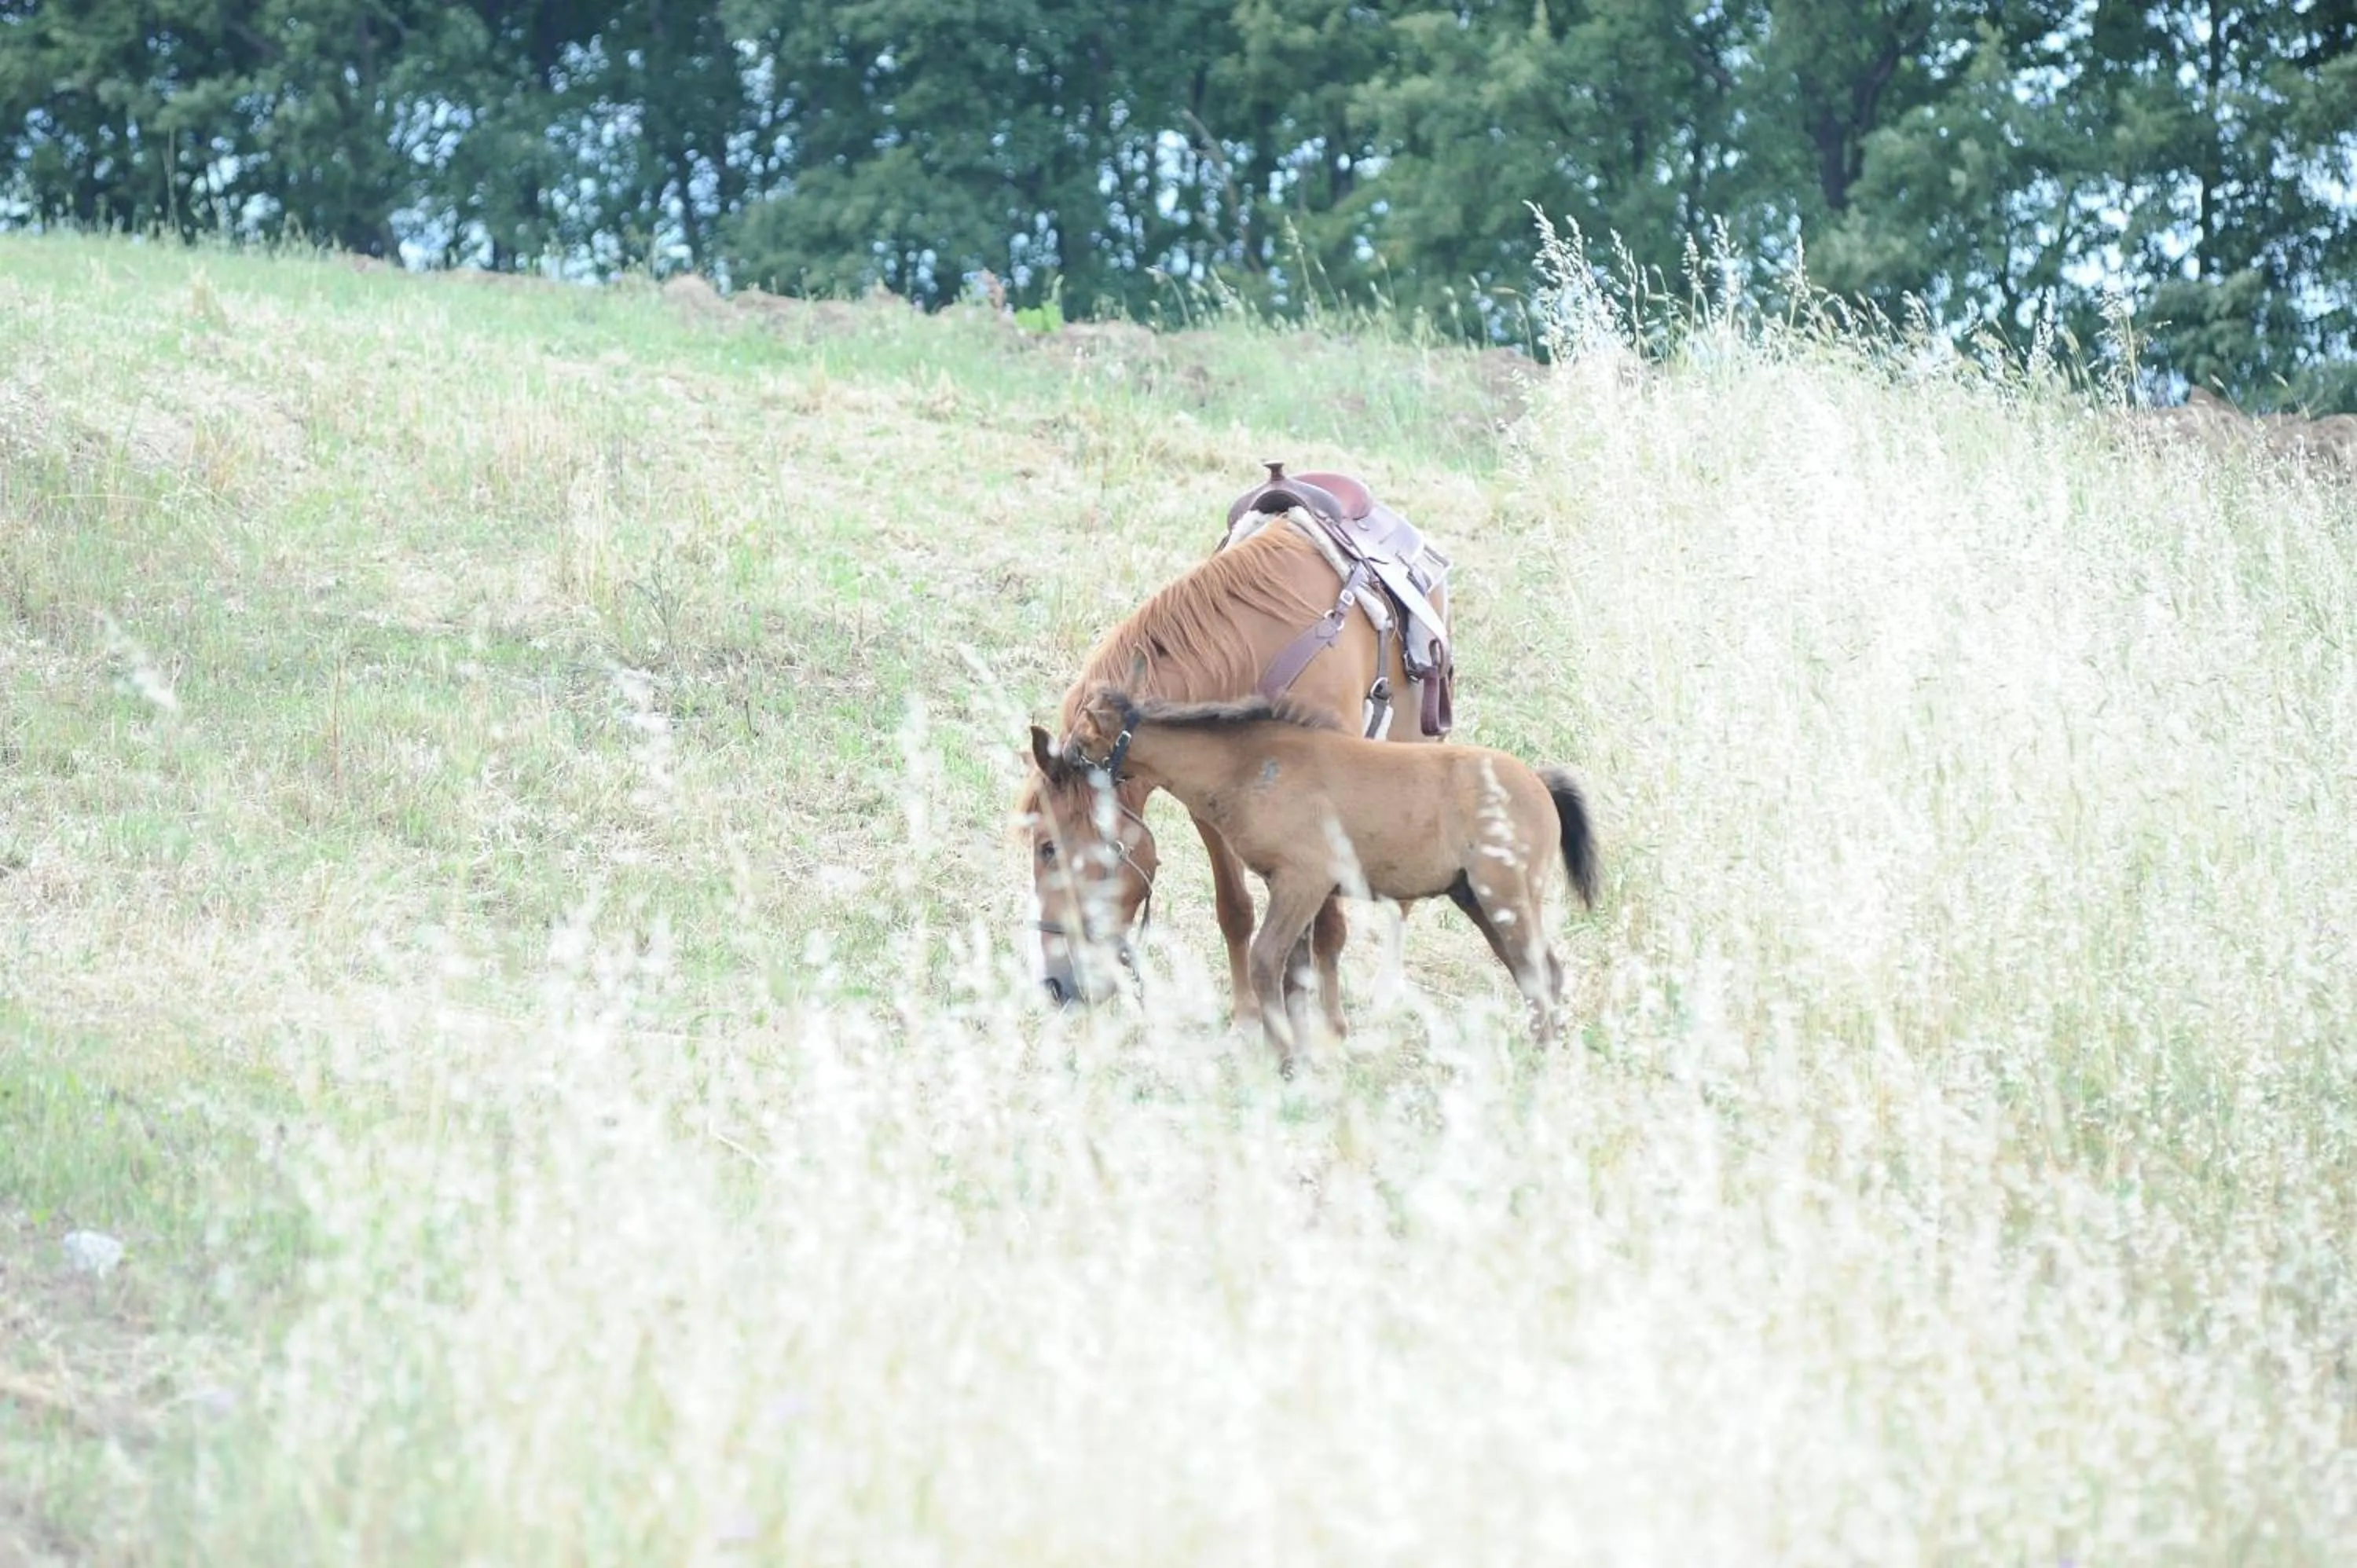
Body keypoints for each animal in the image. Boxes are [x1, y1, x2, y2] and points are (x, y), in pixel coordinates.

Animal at [1014, 508, 1451, 1031]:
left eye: (1048, 848)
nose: (1054, 984)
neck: (1250, 656)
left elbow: (1329, 928)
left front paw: (1331, 1028)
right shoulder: (1212, 810)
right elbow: (1236, 910)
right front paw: (1249, 1016)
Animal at [1034, 685, 1601, 1067]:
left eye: (1081, 744)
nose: (1058, 766)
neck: (1252, 766)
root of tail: (1539, 783)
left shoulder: (1302, 883)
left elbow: (1268, 962)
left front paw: (1286, 1057)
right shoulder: (1290, 888)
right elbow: (1296, 972)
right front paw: (1301, 1051)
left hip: (1503, 897)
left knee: (1540, 971)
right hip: (1479, 900)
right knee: (1534, 971)